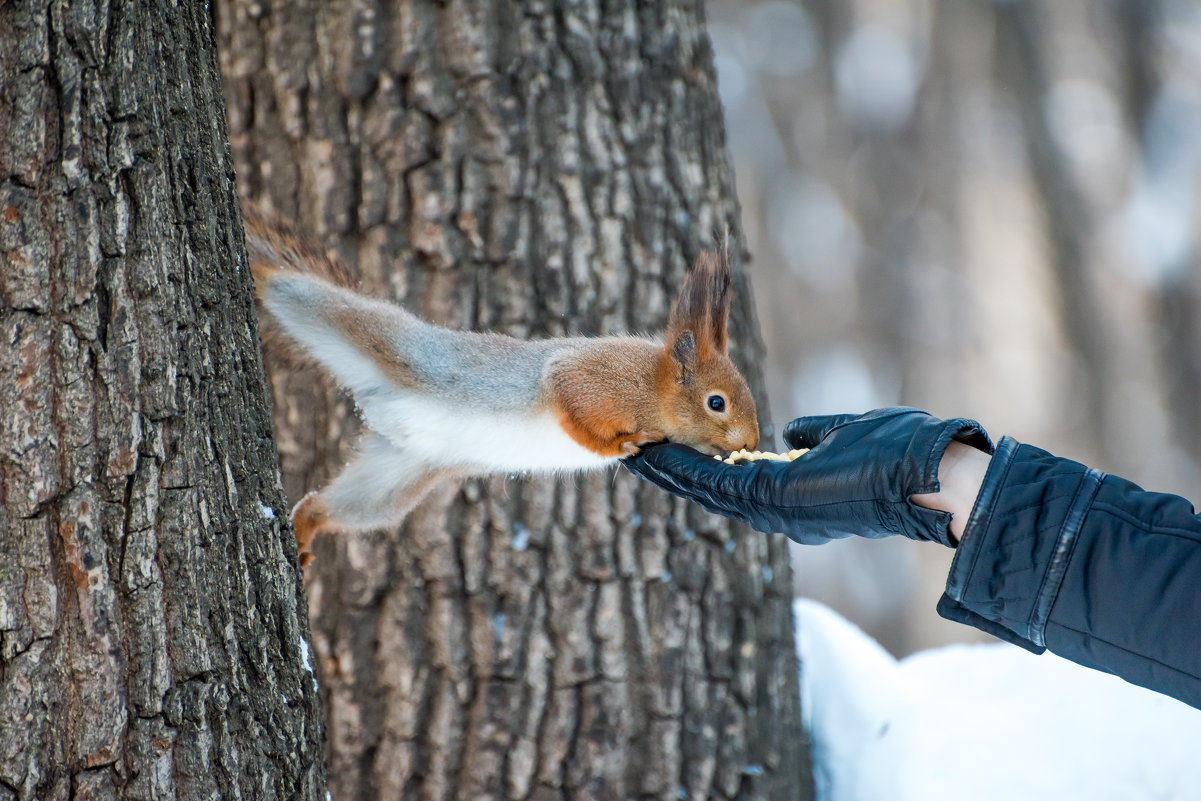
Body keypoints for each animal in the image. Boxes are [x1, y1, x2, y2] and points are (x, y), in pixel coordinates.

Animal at [243, 210, 759, 566]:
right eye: (716, 403)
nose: (752, 443)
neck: (652, 389)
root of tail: (378, 406)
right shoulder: (591, 375)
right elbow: (571, 405)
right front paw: (619, 444)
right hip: (386, 340)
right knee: (294, 292)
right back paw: (256, 271)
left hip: (393, 482)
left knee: (330, 506)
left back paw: (305, 526)